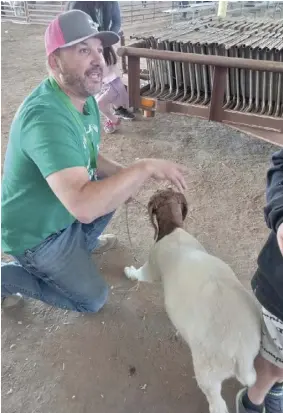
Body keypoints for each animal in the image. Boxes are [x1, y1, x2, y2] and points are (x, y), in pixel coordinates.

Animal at [125, 187, 262, 412]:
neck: (173, 229)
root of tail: (241, 352)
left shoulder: (152, 266)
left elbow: (142, 274)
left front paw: (129, 272)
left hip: (208, 373)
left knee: (217, 404)